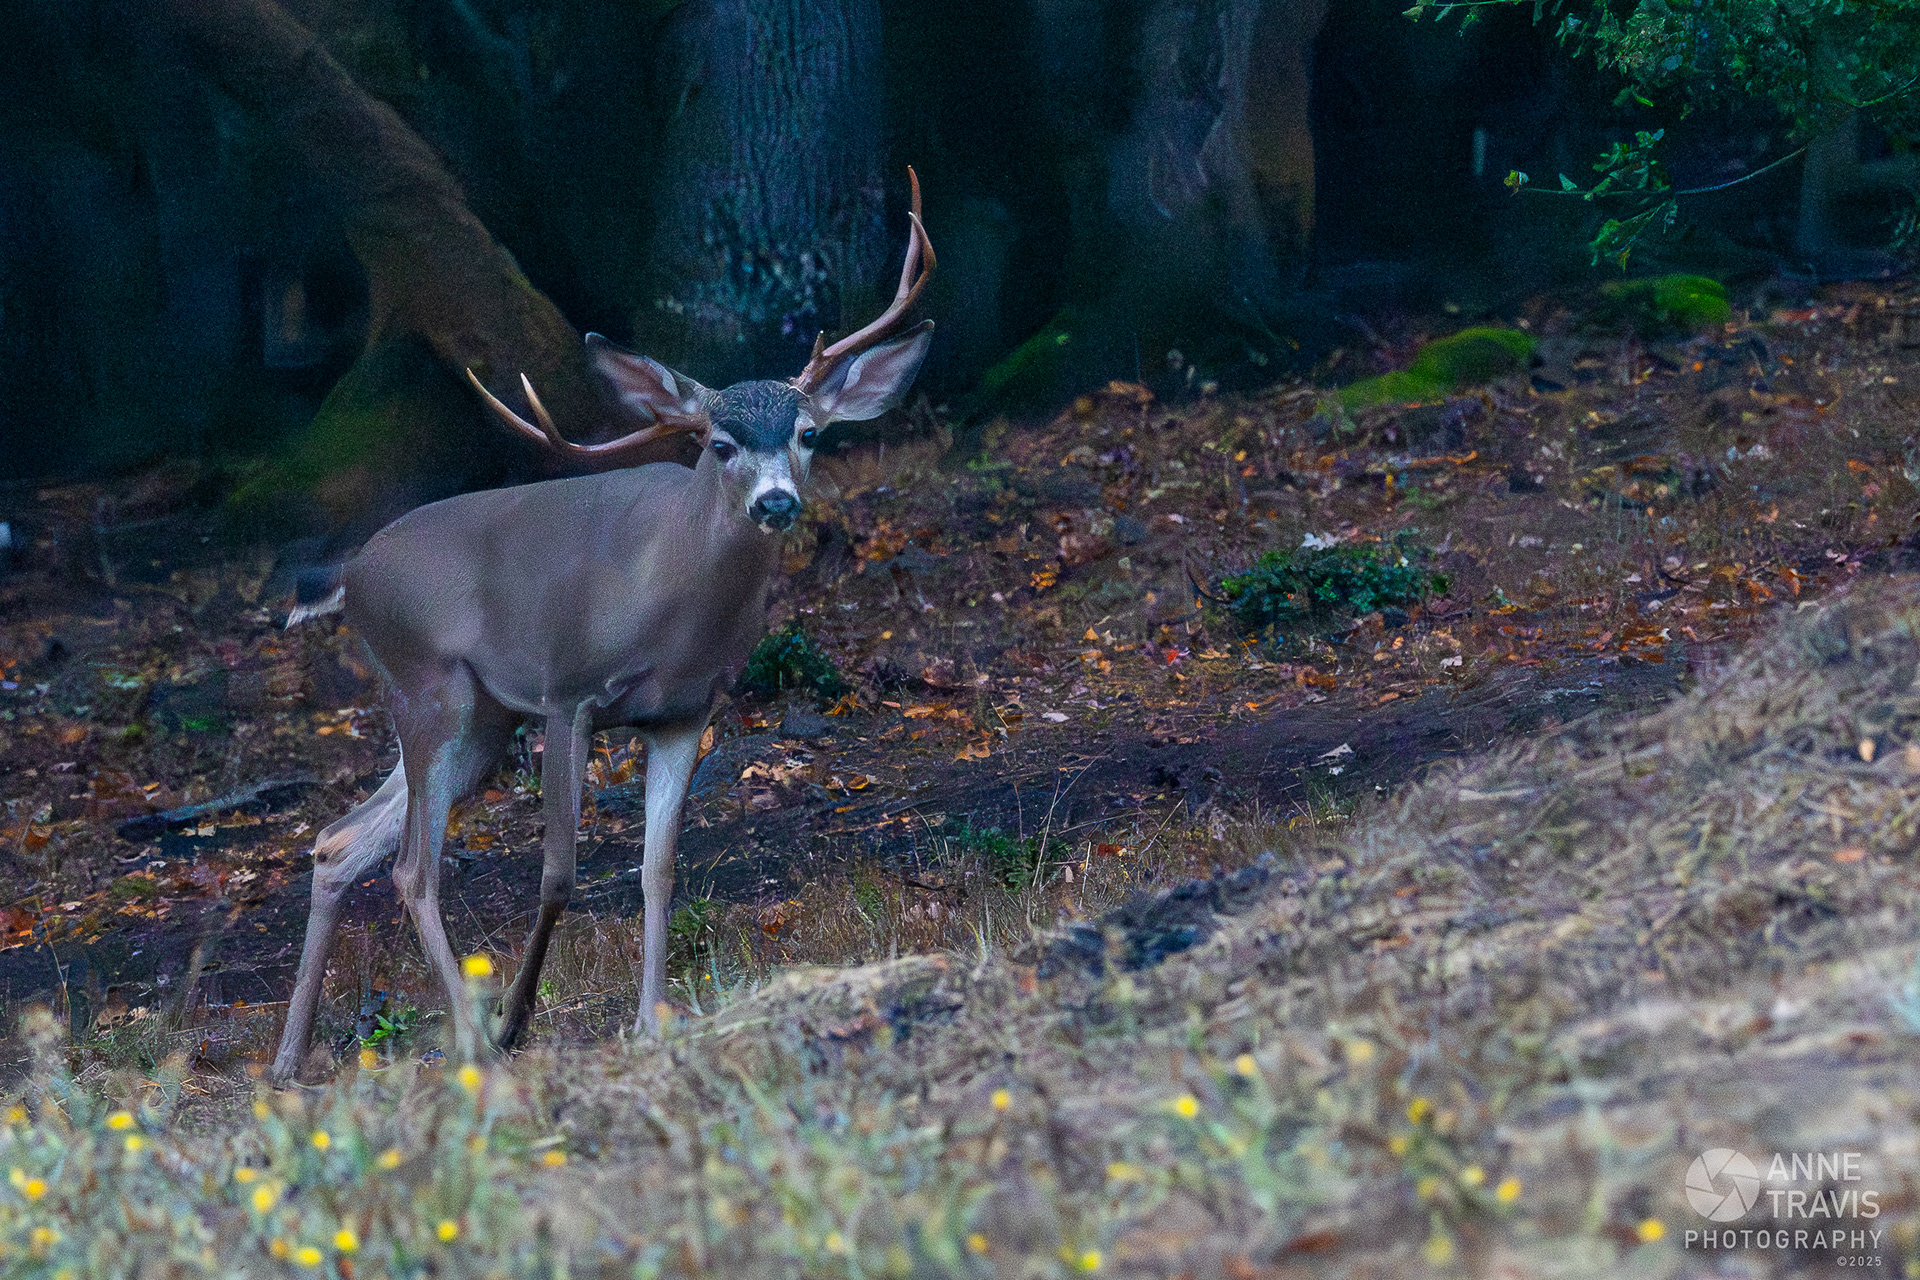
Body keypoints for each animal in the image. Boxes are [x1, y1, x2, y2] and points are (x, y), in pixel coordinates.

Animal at [267, 173, 935, 1083]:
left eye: (807, 434)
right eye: (719, 443)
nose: (775, 502)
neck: (669, 603)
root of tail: (350, 576)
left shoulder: (686, 711)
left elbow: (659, 868)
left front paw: (652, 1021)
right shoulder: (567, 689)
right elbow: (559, 873)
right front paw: (517, 1017)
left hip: (481, 721)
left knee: (340, 842)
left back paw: (287, 1061)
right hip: (427, 685)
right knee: (411, 868)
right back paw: (474, 1038)